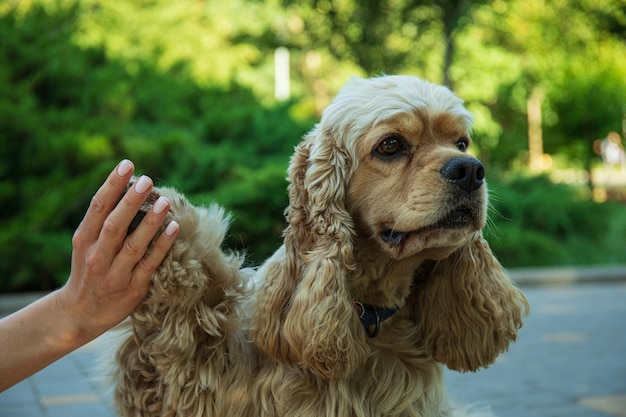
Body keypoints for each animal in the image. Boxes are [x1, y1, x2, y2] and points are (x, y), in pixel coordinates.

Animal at [111, 75, 528, 416]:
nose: (470, 169)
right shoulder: (196, 385)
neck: (369, 314)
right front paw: (157, 214)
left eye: (461, 143)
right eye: (391, 145)